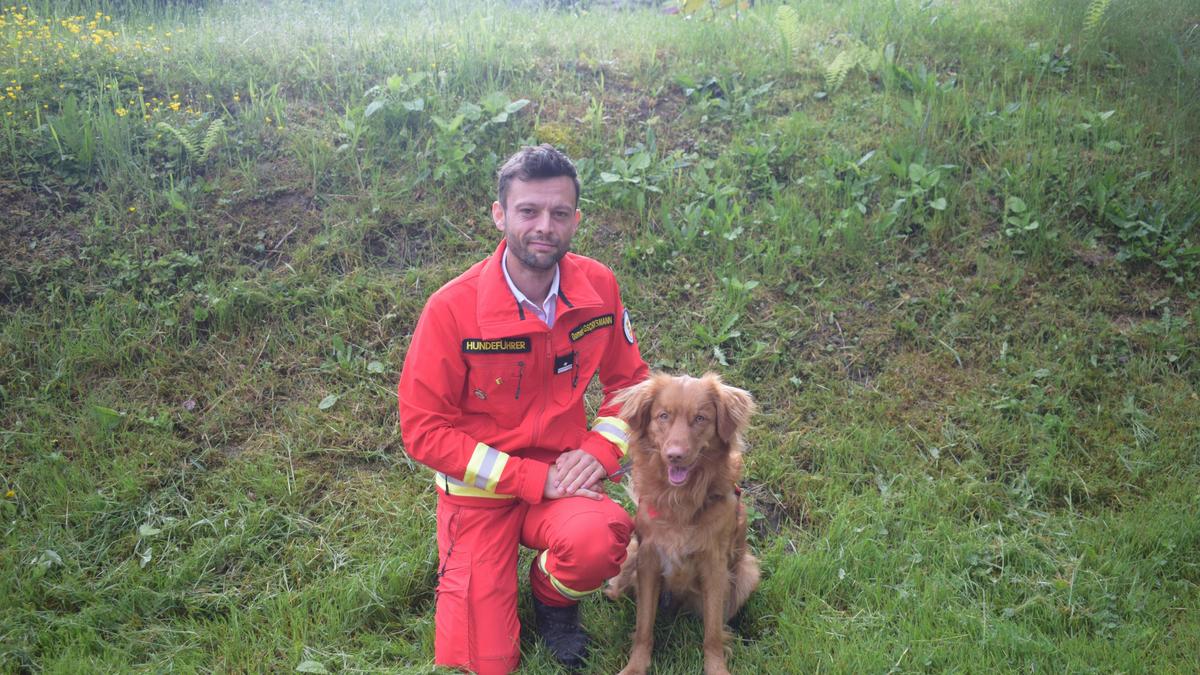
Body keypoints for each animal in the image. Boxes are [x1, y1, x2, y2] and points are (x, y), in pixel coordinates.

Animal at [609, 369, 758, 672]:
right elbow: (644, 627)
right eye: (663, 415)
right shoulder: (648, 558)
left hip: (748, 572)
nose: (674, 455)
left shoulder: (715, 565)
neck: (681, 500)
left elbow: (713, 633)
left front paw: (717, 668)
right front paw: (636, 666)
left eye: (700, 418)